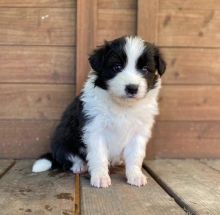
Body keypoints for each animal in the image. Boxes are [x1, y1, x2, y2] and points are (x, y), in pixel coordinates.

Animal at [32, 36, 166, 188]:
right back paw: (79, 165)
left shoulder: (139, 132)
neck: (123, 106)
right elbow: (98, 156)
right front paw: (101, 177)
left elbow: (135, 155)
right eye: (117, 67)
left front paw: (136, 175)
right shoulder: (95, 129)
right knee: (67, 155)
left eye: (145, 69)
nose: (132, 88)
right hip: (62, 138)